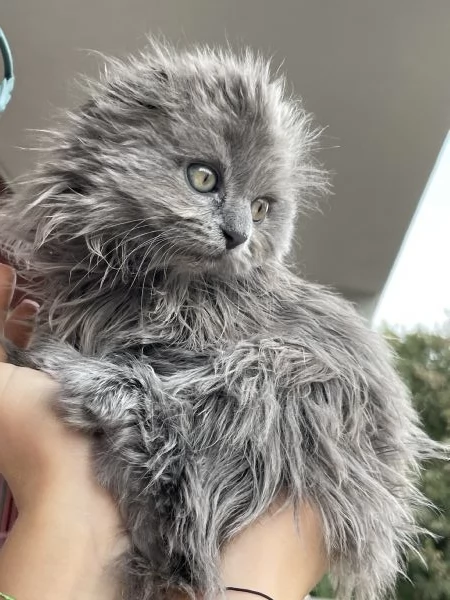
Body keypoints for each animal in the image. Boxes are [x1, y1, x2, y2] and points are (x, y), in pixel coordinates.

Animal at [0, 43, 442, 600]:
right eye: (204, 177)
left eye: (261, 208)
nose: (238, 235)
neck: (158, 281)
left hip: (280, 378)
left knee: (179, 488)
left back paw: (92, 388)